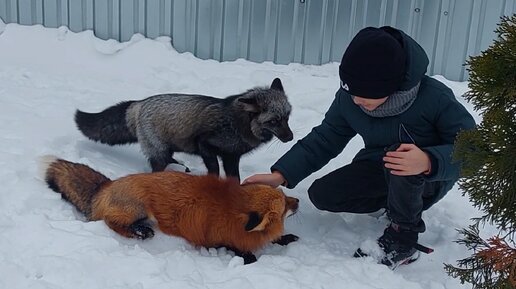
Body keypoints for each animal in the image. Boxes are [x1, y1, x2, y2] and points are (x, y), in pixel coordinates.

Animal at [40, 155, 300, 264]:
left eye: (285, 197)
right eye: (285, 205)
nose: (298, 200)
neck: (230, 210)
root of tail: (108, 185)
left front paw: (285, 237)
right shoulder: (215, 239)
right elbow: (239, 249)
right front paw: (250, 257)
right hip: (138, 208)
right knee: (110, 222)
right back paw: (139, 232)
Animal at [74, 77, 292, 178]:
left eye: (287, 117)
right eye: (273, 121)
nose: (290, 138)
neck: (237, 125)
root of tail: (140, 103)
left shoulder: (232, 158)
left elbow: (235, 179)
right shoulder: (205, 144)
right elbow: (214, 168)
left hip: (166, 150)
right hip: (160, 154)